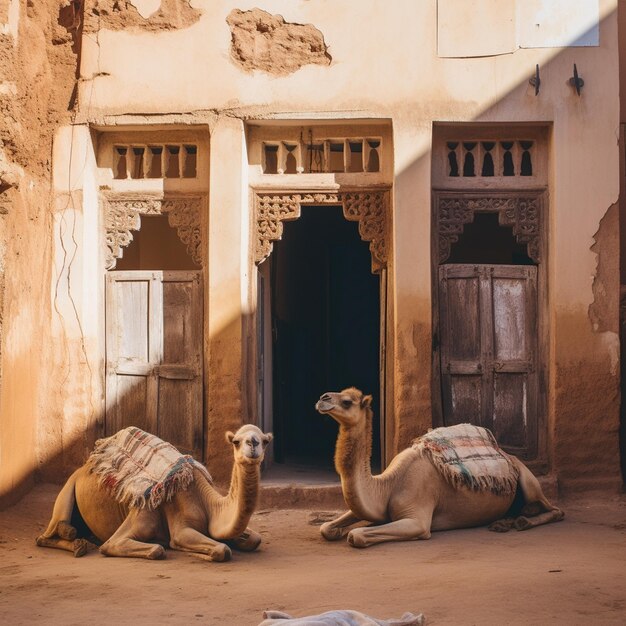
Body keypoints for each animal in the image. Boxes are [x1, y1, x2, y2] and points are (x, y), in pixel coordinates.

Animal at [36, 424, 270, 560]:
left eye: (265, 440)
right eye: (236, 441)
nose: (253, 443)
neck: (208, 504)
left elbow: (254, 538)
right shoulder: (157, 520)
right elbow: (158, 548)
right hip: (67, 489)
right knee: (46, 535)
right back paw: (77, 543)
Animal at [314, 386, 564, 544]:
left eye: (347, 401)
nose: (323, 397)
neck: (387, 485)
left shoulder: (418, 520)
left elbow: (357, 535)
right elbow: (325, 528)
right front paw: (336, 529)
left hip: (528, 480)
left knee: (556, 511)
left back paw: (523, 520)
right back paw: (505, 522)